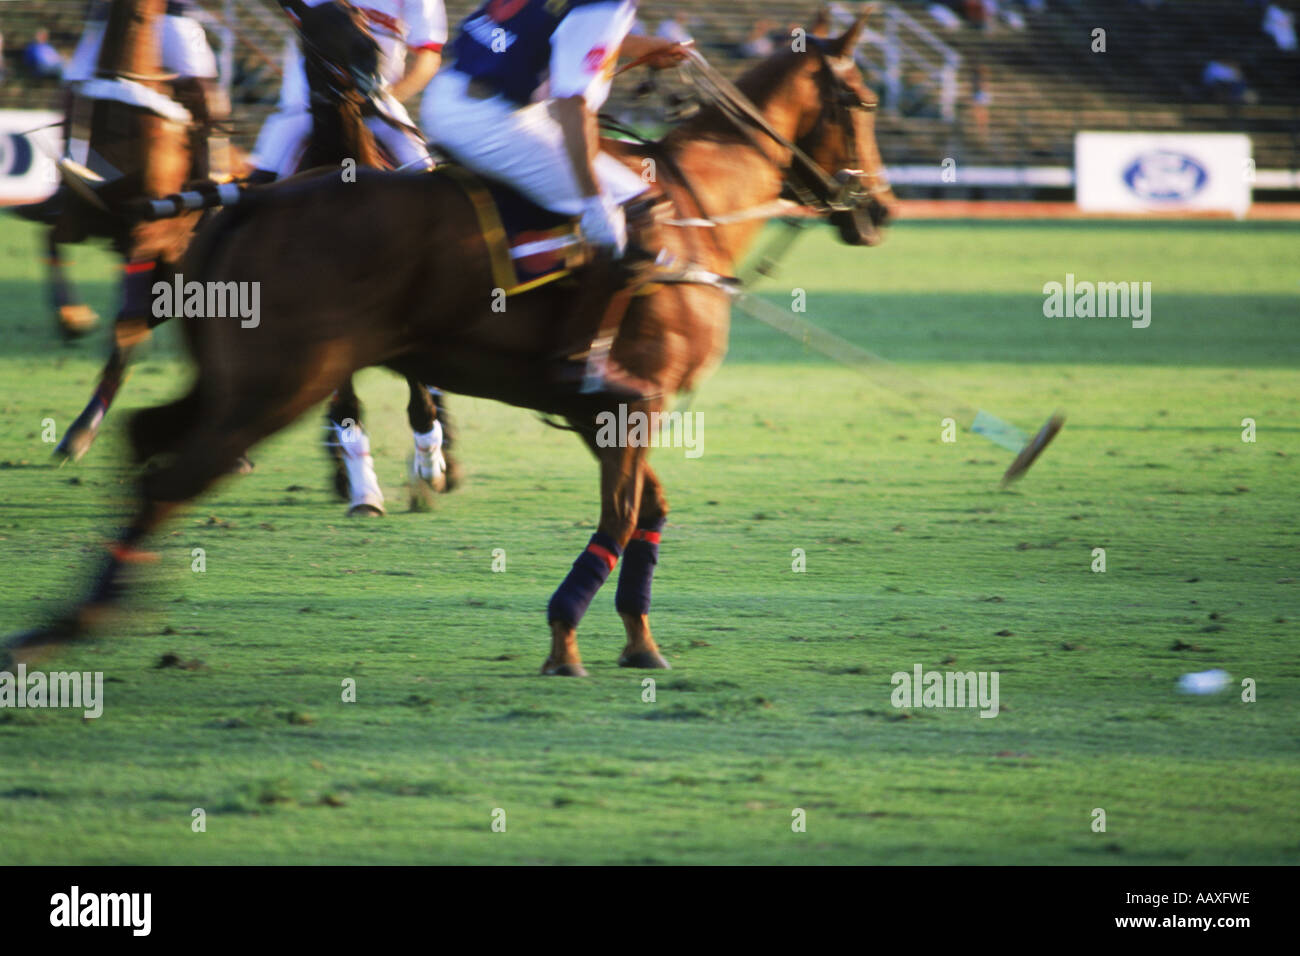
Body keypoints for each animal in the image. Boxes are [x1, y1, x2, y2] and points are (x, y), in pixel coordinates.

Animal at [5, 11, 894, 676]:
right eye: (862, 101)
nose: (880, 209)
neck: (694, 206)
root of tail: (252, 200)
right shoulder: (632, 406)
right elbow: (619, 517)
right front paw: (565, 639)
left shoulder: (608, 412)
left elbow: (648, 512)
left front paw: (639, 643)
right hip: (278, 383)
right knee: (169, 479)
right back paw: (76, 621)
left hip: (236, 380)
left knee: (145, 438)